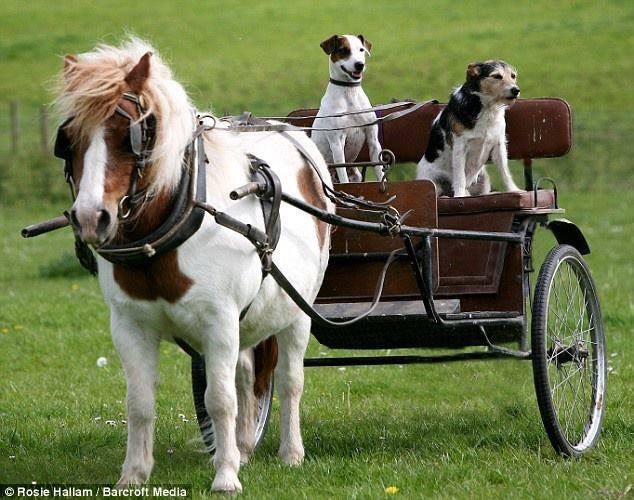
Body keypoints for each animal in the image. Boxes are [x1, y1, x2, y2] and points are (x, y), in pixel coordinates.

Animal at [56, 39, 330, 492]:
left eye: (130, 136)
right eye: (68, 139)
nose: (91, 217)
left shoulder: (219, 321)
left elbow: (218, 400)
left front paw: (225, 477)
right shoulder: (129, 326)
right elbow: (139, 402)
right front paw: (134, 475)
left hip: (297, 312)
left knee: (290, 381)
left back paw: (290, 452)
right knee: (246, 374)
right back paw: (244, 447)